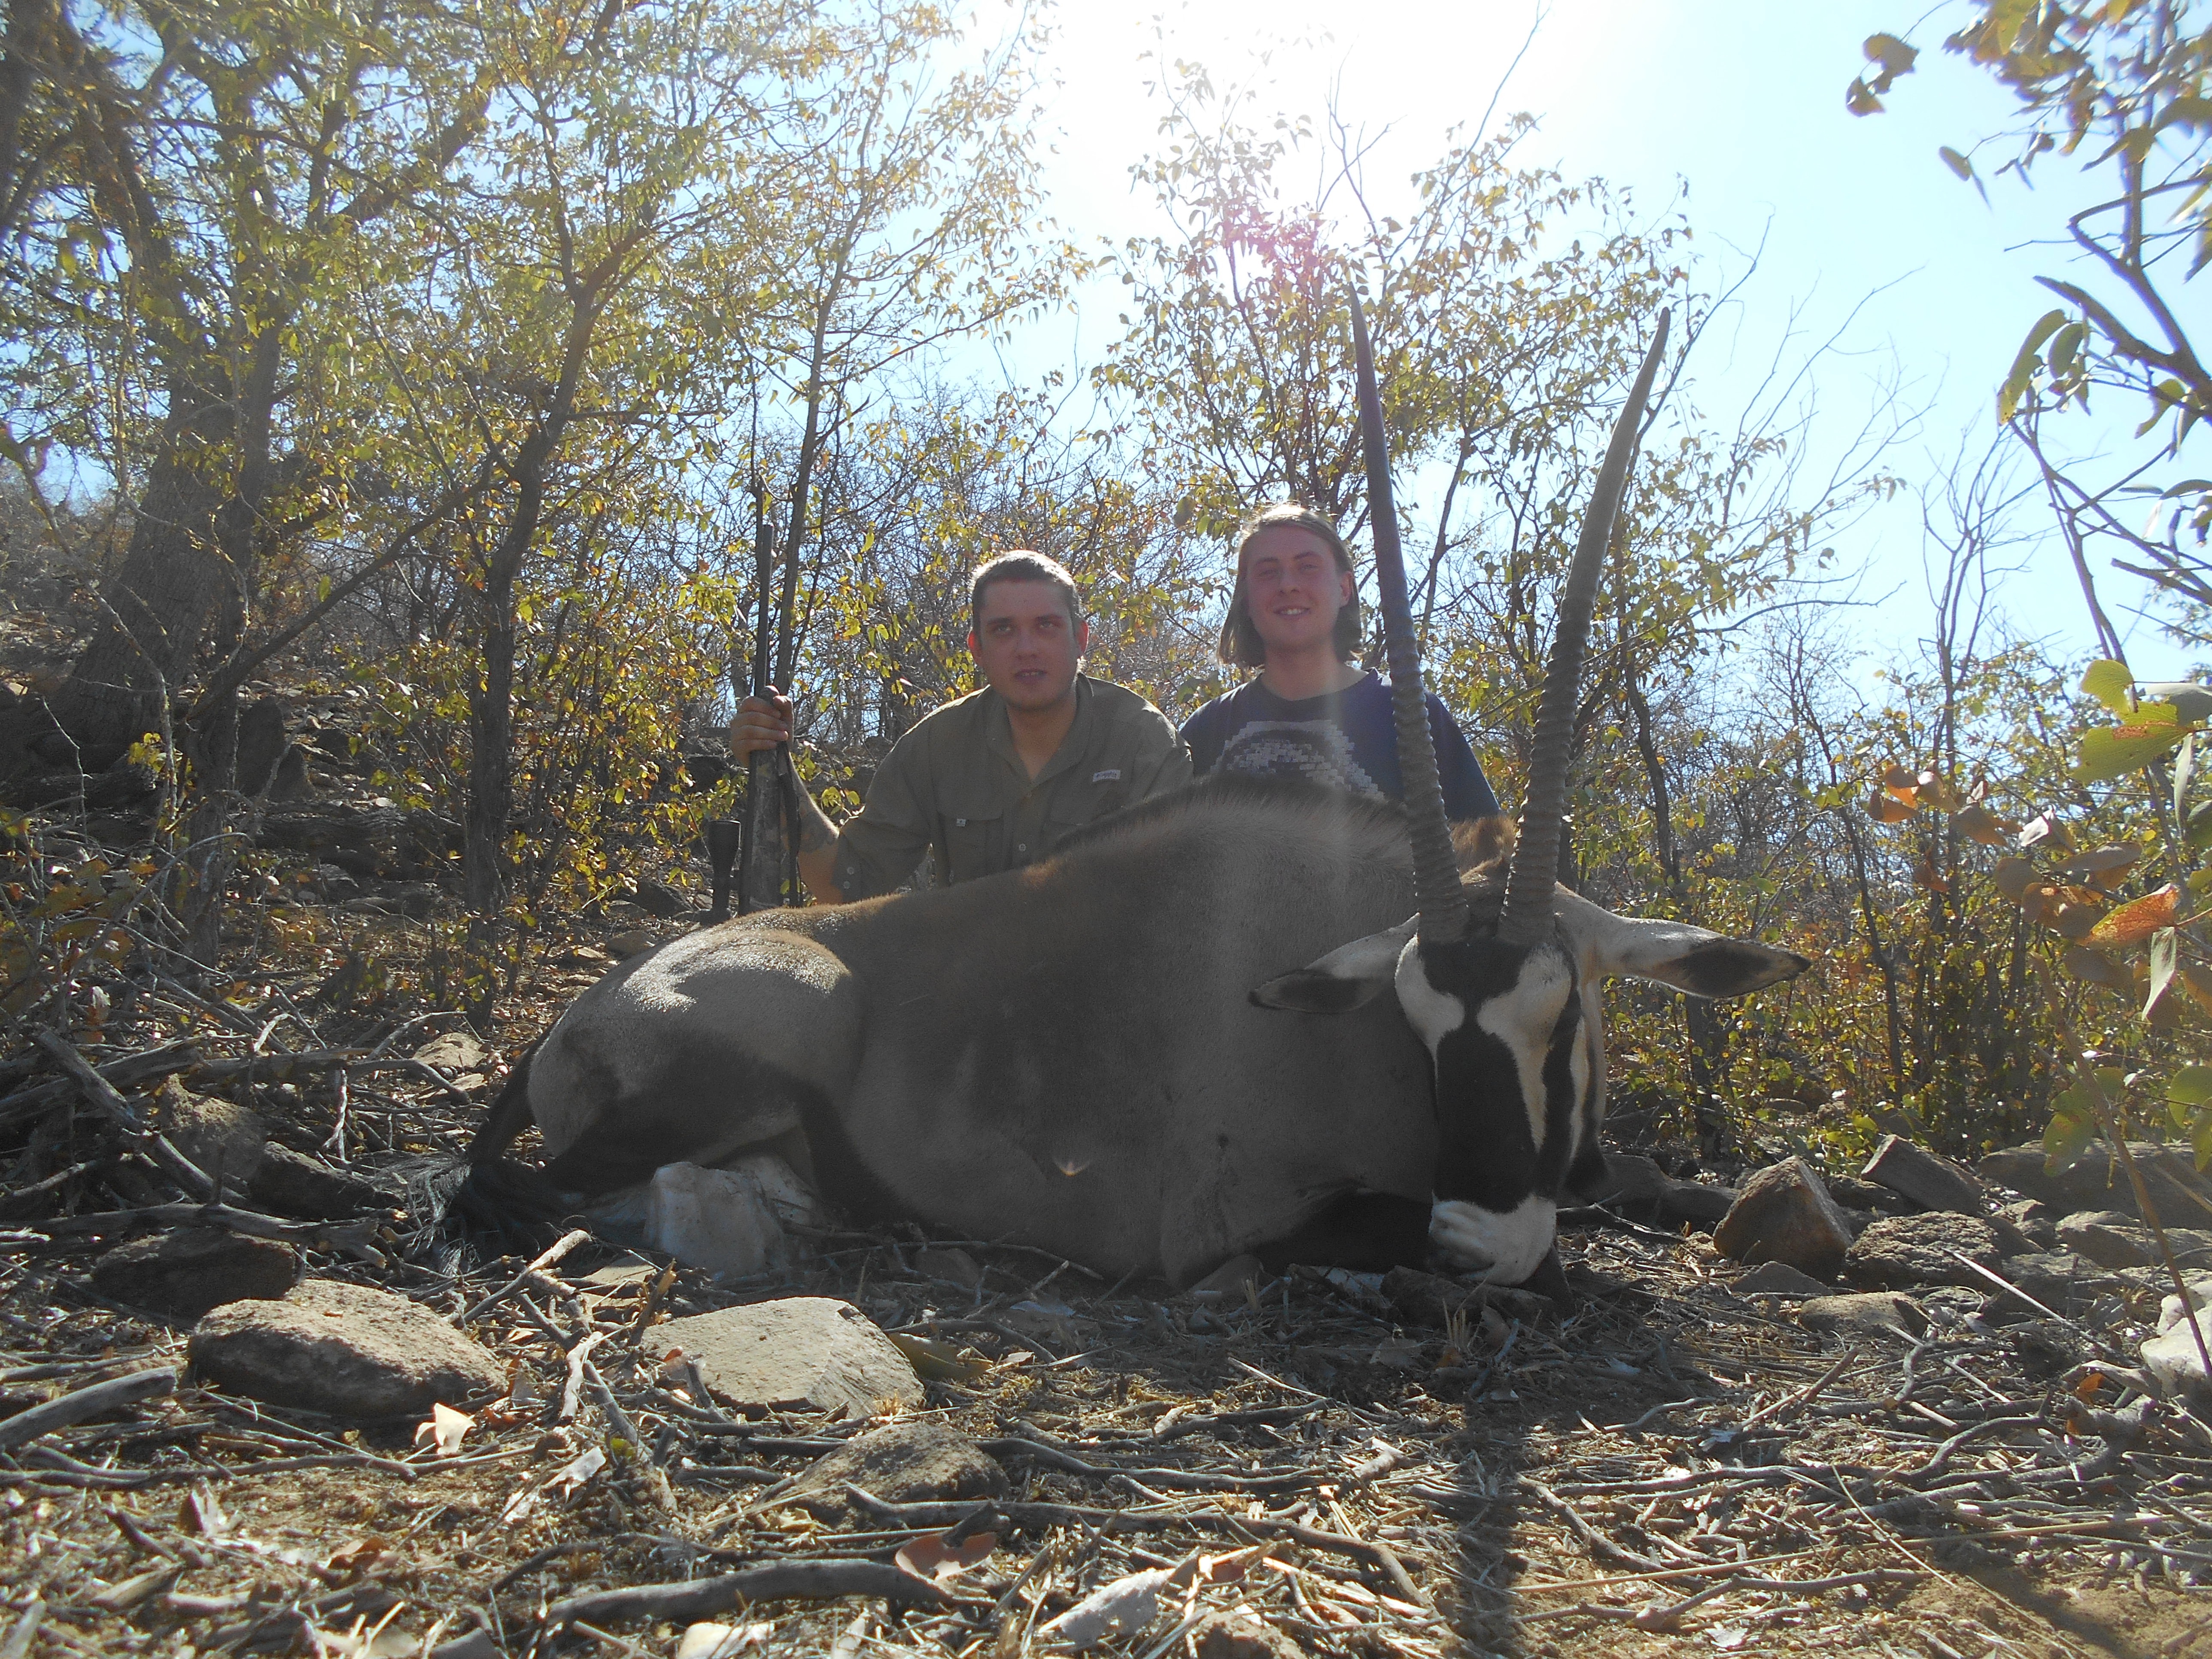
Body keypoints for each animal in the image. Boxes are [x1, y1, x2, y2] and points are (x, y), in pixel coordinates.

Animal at [459, 303, 1808, 1288]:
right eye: (1420, 1018)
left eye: (1561, 1013)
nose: (1479, 1239)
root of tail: (586, 1011)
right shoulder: (1229, 1221)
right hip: (774, 1035)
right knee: (535, 1184)